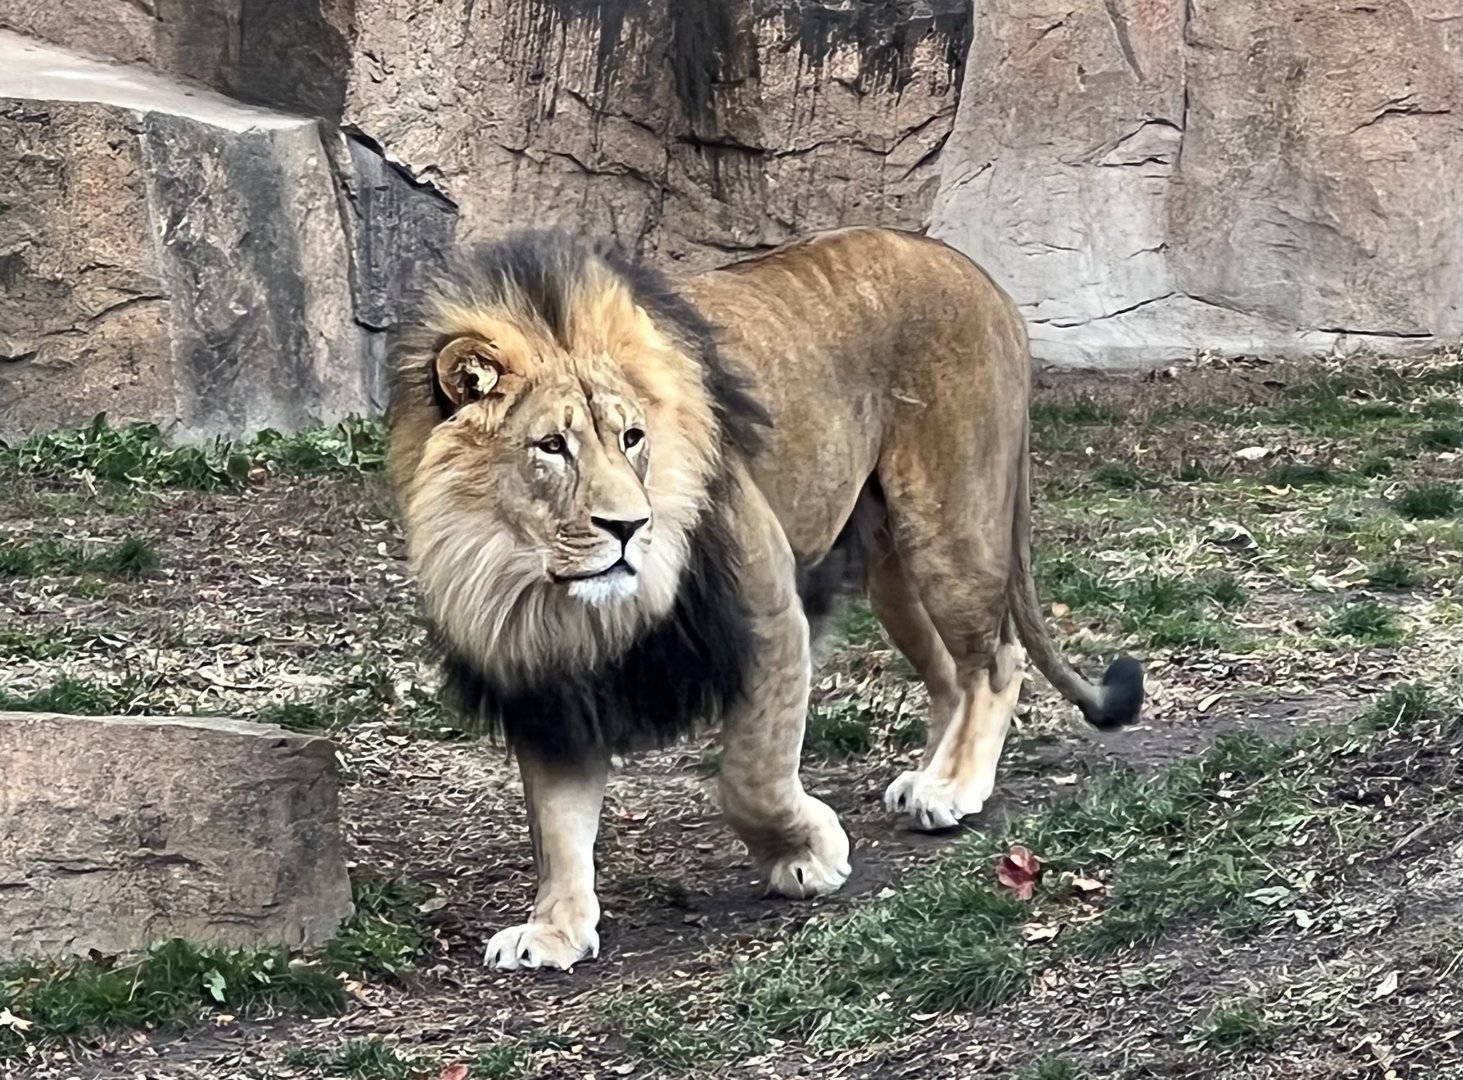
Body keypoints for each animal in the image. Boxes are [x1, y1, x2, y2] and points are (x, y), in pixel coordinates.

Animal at [385, 227, 1144, 973]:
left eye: (632, 438)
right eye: (550, 447)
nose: (628, 527)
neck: (547, 594)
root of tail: (975, 273)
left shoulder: (769, 610)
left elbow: (751, 780)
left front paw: (808, 856)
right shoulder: (547, 683)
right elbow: (555, 823)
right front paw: (553, 930)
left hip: (948, 528)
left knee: (996, 660)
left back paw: (951, 788)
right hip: (891, 569)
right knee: (951, 672)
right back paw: (929, 775)